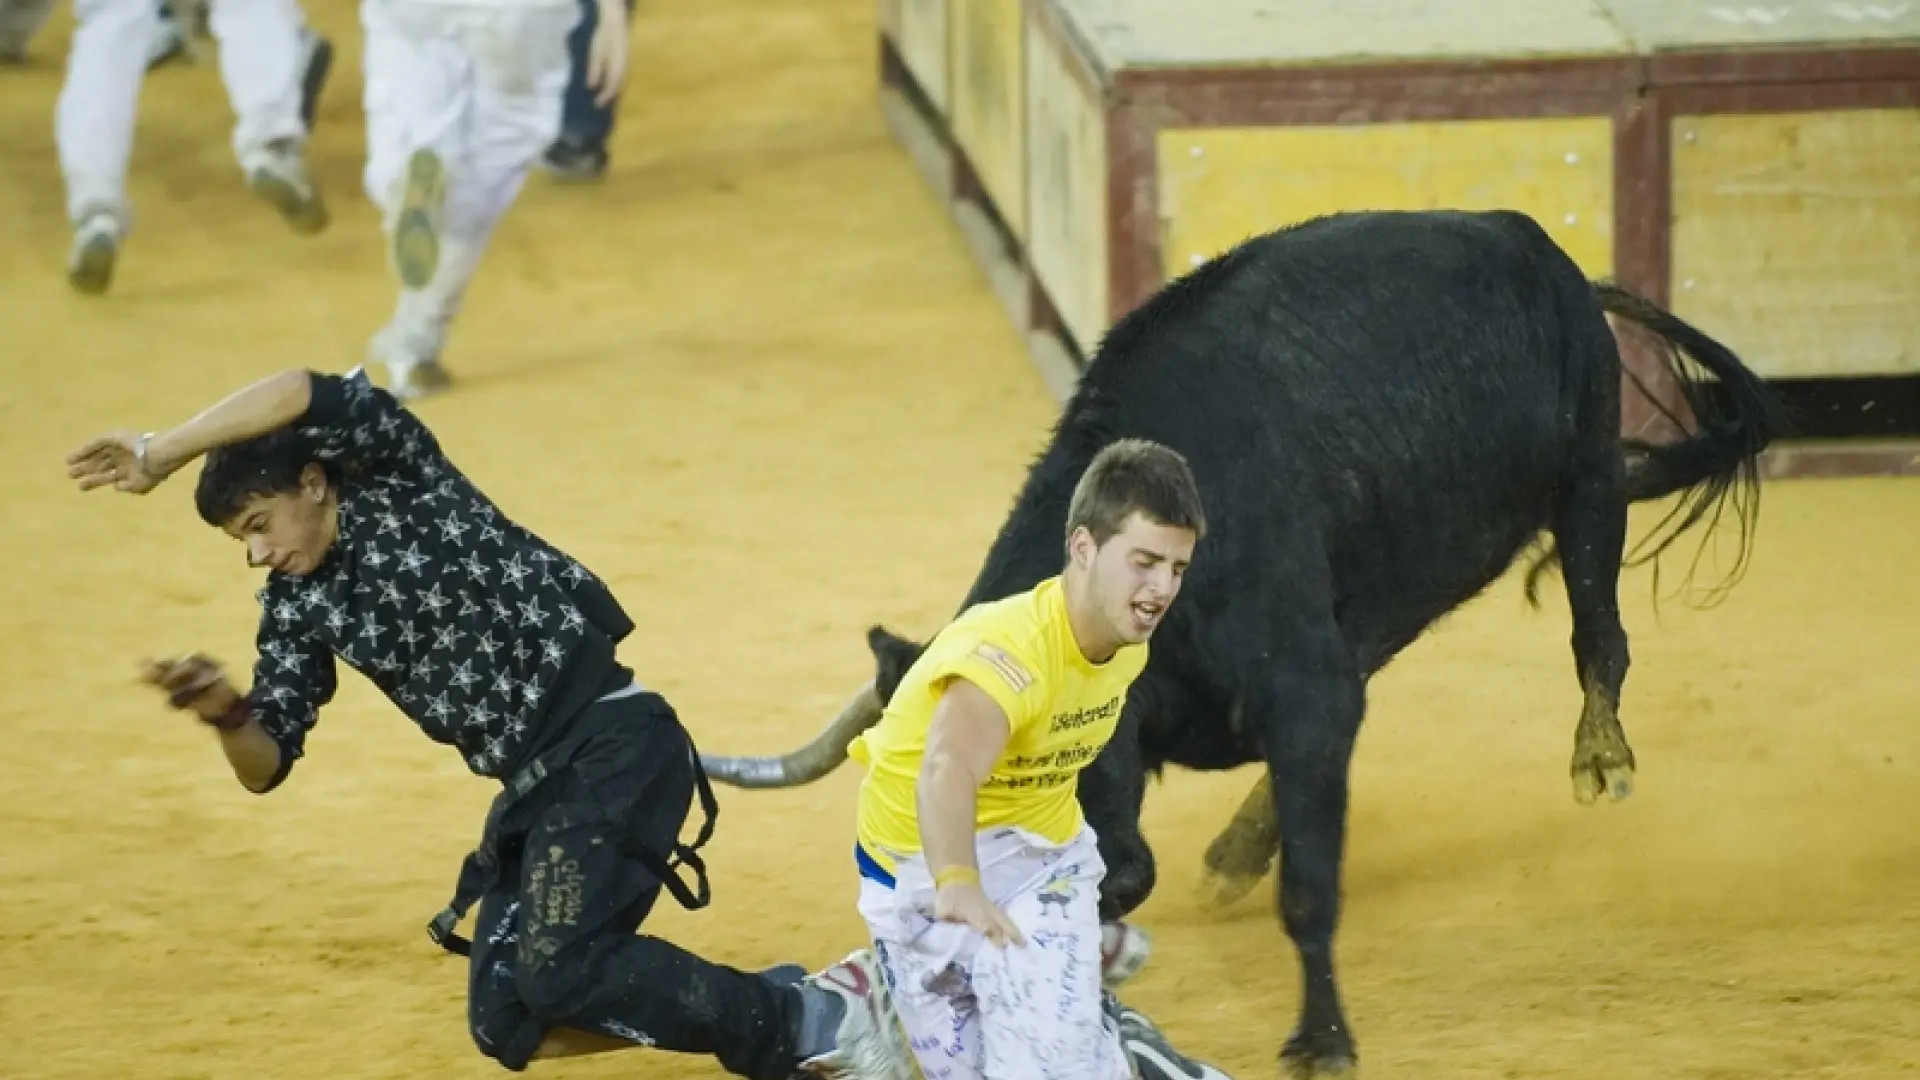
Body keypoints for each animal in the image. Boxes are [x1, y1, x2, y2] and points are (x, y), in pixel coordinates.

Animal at [698, 208, 1774, 1068]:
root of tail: (1539, 246)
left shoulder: (1304, 690)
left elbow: (1308, 888)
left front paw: (1323, 1040)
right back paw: (1233, 851)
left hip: (1588, 476)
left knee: (1601, 631)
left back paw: (1602, 756)